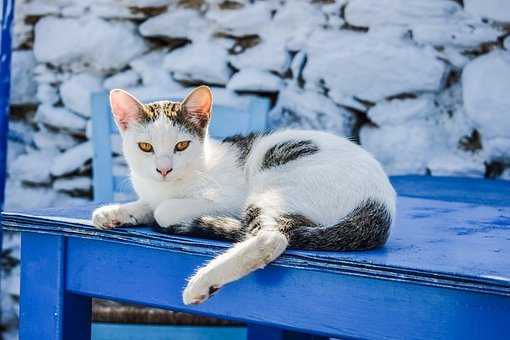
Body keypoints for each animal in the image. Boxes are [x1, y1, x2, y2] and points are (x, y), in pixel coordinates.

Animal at [91, 85, 396, 306]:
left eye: (181, 146)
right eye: (145, 147)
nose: (163, 169)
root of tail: (381, 203)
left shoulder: (228, 198)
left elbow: (162, 209)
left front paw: (159, 211)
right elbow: (147, 203)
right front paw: (115, 212)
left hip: (275, 182)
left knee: (270, 237)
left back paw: (202, 281)